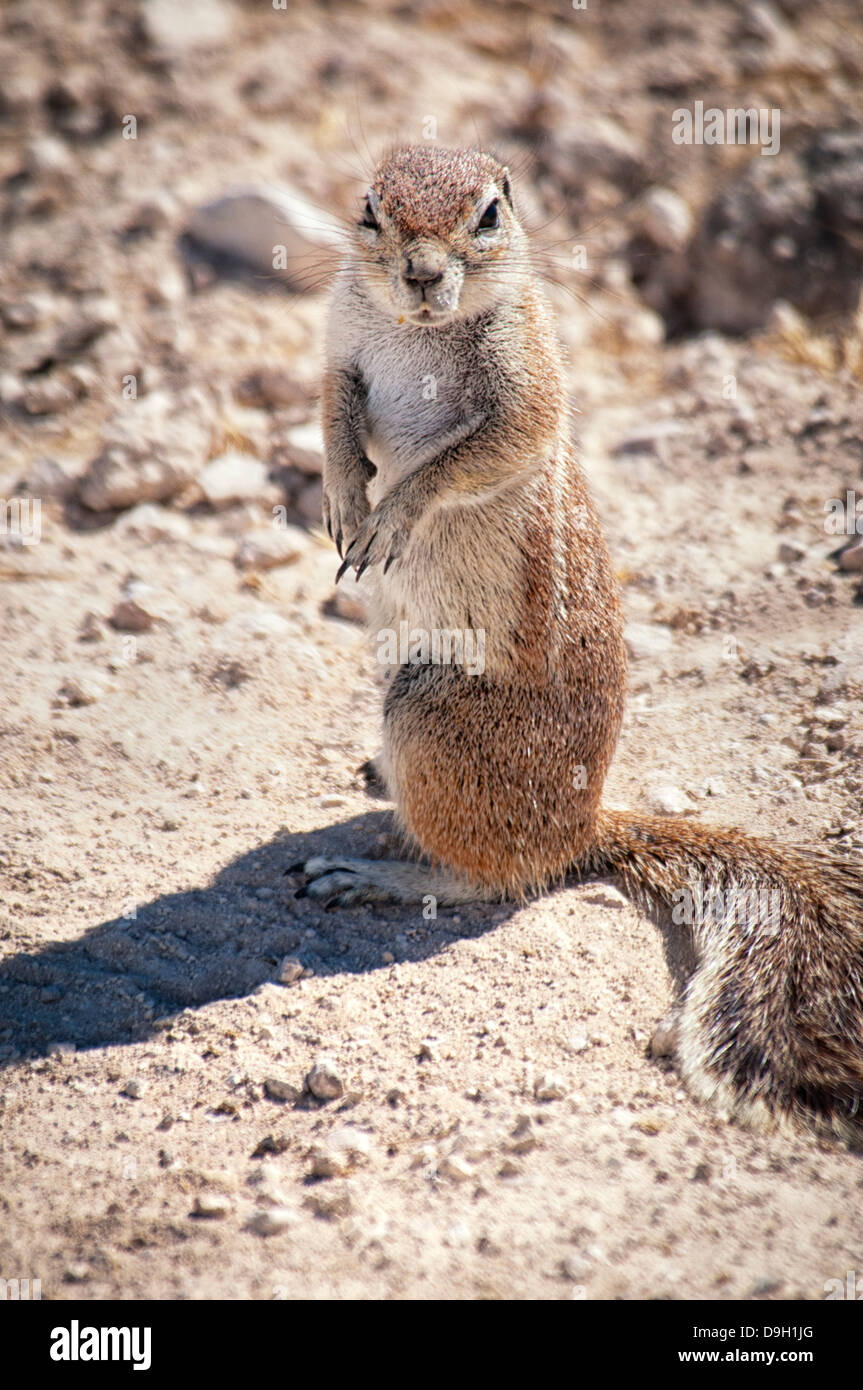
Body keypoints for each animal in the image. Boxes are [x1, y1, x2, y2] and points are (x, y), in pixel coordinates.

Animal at [297, 141, 861, 1145]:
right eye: (369, 209)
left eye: (488, 214)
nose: (421, 274)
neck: (413, 331)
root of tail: (585, 826)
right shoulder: (340, 349)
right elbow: (332, 411)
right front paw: (341, 495)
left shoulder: (525, 390)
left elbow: (470, 456)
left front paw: (389, 516)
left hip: (429, 719)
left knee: (491, 881)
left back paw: (369, 872)